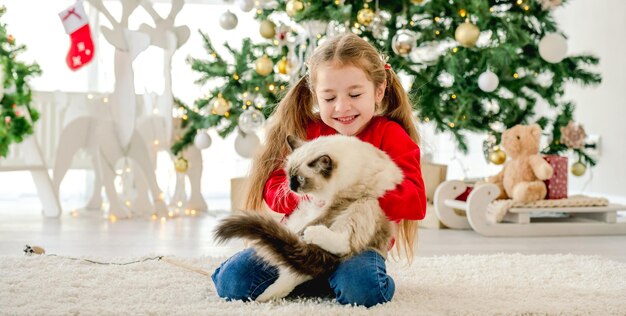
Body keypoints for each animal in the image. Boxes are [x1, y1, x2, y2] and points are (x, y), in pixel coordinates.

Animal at [212, 133, 402, 302]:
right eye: (289, 175)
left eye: (301, 179)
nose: (291, 186)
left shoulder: (342, 200)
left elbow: (324, 217)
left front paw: (306, 230)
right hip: (300, 215)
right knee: (292, 271)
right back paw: (265, 297)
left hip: (366, 203)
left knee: (341, 245)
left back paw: (309, 235)